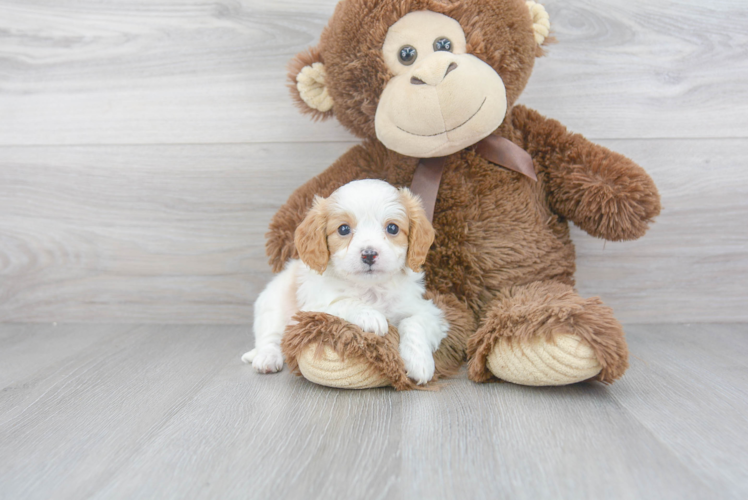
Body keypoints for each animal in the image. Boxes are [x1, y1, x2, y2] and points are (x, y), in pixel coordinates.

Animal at [243, 178, 448, 384]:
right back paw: (267, 358)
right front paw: (370, 315)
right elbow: (345, 302)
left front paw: (419, 362)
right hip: (272, 308)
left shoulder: (426, 310)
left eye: (392, 228)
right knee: (269, 338)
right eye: (343, 229)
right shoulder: (314, 308)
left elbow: (415, 323)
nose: (369, 254)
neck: (371, 288)